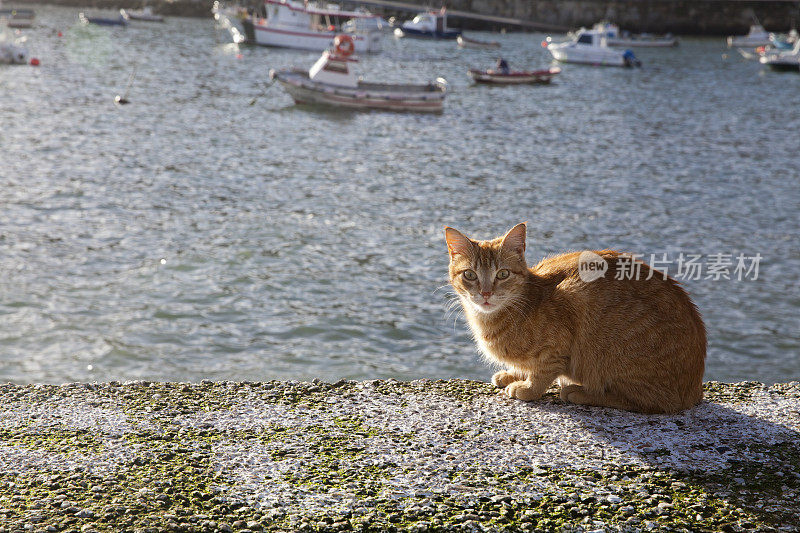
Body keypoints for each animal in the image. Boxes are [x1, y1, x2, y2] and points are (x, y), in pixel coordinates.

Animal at [444, 222, 708, 414]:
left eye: (503, 274)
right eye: (470, 275)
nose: (486, 293)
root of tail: (693, 392)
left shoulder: (559, 339)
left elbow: (543, 372)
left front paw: (527, 388)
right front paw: (513, 373)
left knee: (650, 402)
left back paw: (580, 392)